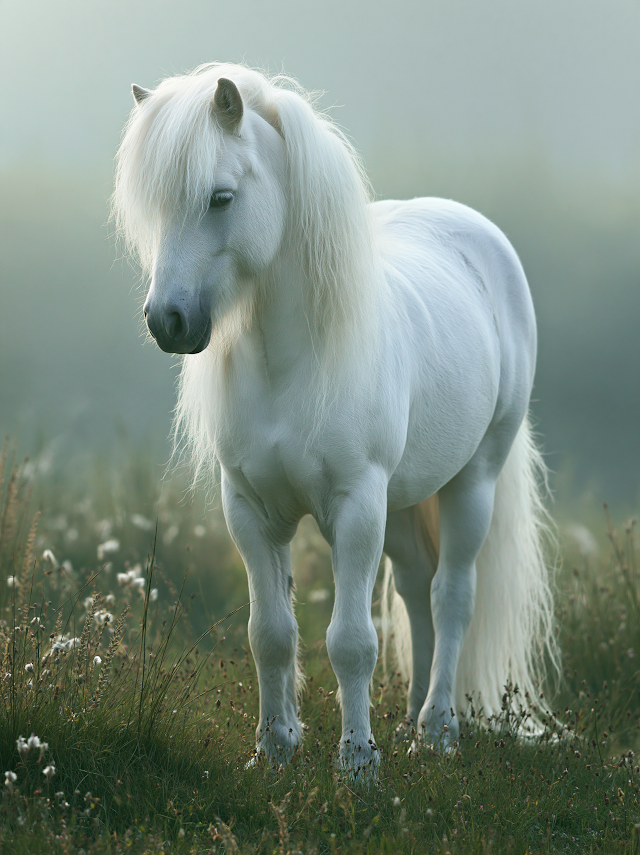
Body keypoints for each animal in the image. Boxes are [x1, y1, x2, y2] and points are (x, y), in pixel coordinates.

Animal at [113, 62, 558, 777]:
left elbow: (351, 641)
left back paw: (438, 729)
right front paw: (274, 750)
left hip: (471, 484)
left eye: (220, 198)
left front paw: (356, 765)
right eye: (154, 208)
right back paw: (408, 724)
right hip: (401, 506)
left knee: (452, 596)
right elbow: (270, 634)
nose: (168, 322)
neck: (288, 364)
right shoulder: (251, 510)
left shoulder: (355, 507)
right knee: (417, 591)